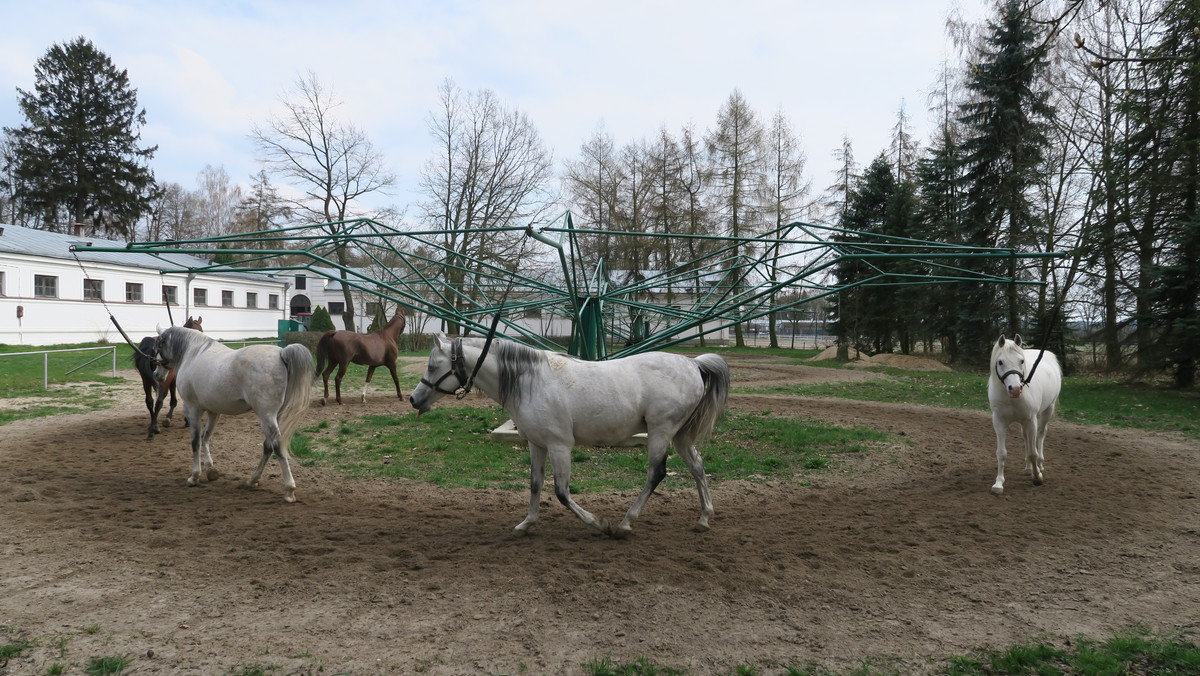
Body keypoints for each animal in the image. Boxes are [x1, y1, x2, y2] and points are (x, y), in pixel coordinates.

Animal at [154, 324, 314, 504]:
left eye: (159, 344)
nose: (156, 374)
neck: (192, 353)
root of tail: (281, 354)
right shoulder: (213, 411)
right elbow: (205, 437)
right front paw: (210, 470)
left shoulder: (192, 409)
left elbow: (196, 442)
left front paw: (194, 477)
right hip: (275, 416)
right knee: (268, 446)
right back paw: (252, 480)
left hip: (266, 416)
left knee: (276, 446)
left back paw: (289, 489)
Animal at [405, 333, 729, 540]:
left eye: (433, 365)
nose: (413, 399)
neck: (531, 380)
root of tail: (693, 363)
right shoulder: (536, 444)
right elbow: (535, 484)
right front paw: (526, 524)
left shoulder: (560, 446)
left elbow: (561, 492)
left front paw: (599, 524)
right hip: (680, 435)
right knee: (697, 467)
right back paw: (704, 518)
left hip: (661, 432)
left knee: (656, 473)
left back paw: (625, 524)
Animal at [988, 336, 1065, 494]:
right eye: (1000, 362)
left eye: (1021, 361)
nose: (1015, 389)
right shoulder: (999, 422)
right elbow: (1001, 453)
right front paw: (998, 483)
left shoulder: (1031, 420)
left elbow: (1032, 453)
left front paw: (1037, 477)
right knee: (1026, 438)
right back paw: (1028, 468)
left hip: (1047, 410)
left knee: (1041, 434)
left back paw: (1039, 465)